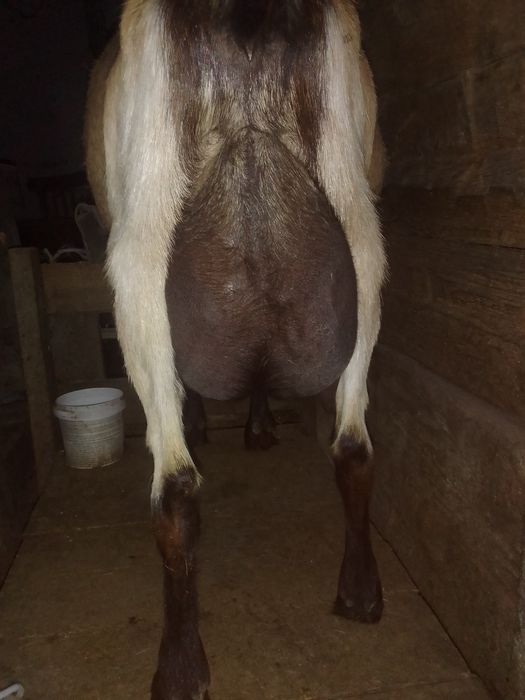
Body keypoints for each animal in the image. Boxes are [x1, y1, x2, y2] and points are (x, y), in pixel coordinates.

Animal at [85, 1, 387, 697]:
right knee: (353, 446)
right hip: (362, 243)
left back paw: (179, 668)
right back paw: (360, 593)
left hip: (139, 266)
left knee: (174, 488)